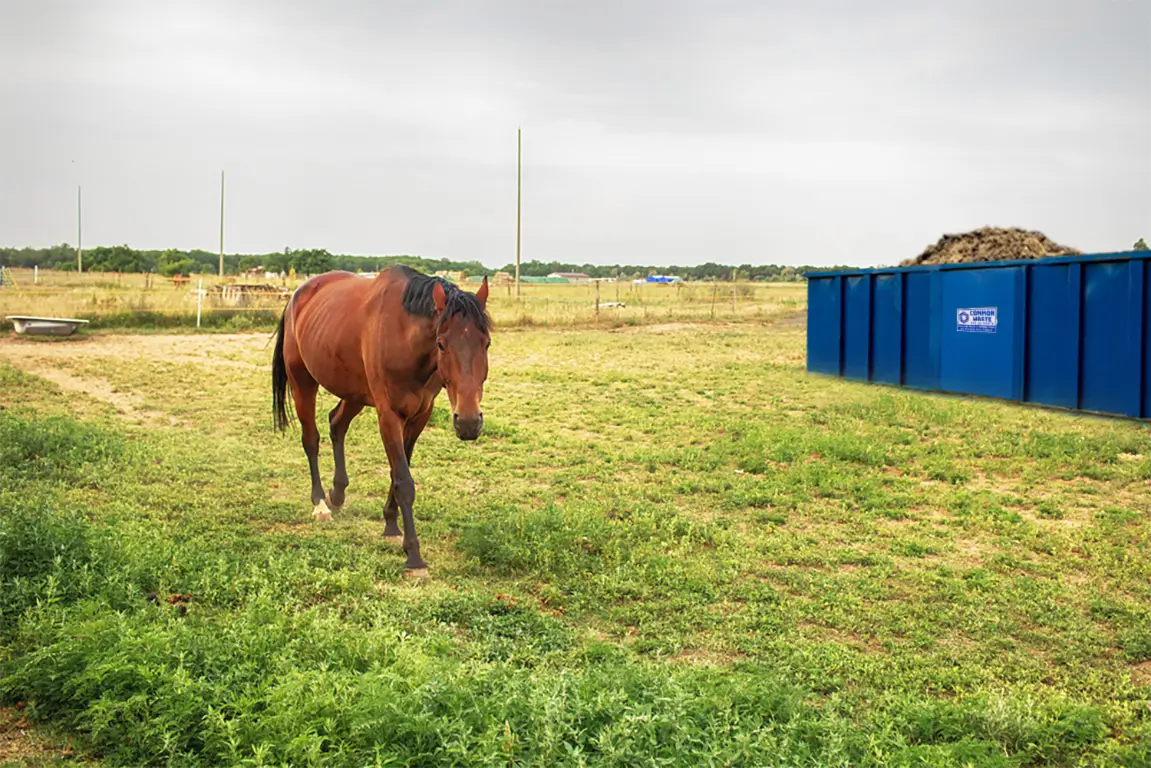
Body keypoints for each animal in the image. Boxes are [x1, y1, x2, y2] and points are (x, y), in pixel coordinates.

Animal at [271, 264, 492, 571]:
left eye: (487, 343)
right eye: (441, 344)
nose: (469, 422)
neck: (405, 339)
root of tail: (297, 296)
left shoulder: (420, 415)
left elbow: (397, 472)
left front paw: (390, 525)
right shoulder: (388, 414)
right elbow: (404, 481)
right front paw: (413, 555)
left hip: (354, 393)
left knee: (336, 424)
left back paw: (338, 493)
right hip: (302, 382)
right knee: (311, 440)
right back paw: (320, 504)